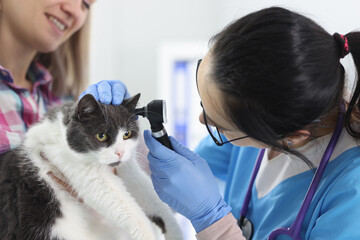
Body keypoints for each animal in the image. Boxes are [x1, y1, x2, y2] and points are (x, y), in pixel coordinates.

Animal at [0, 94, 183, 240]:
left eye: (127, 134)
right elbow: (126, 208)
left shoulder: (128, 168)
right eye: (101, 136)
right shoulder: (80, 168)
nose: (120, 153)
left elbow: (151, 196)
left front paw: (175, 232)